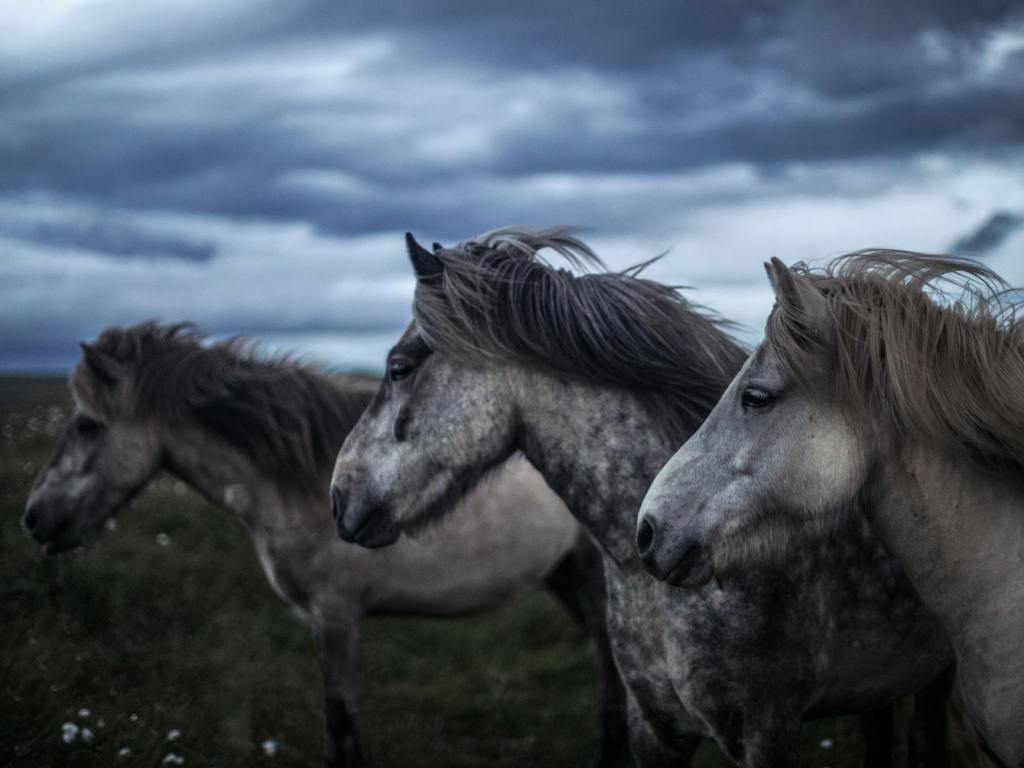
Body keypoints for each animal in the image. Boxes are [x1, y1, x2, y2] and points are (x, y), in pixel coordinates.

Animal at [21, 322, 630, 768]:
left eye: (88, 425)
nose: (32, 518)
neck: (298, 480)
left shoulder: (334, 616)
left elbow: (340, 722)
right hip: (565, 576)